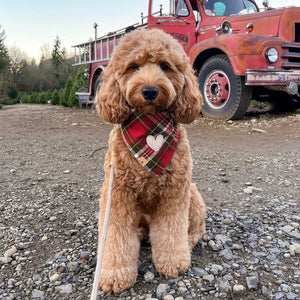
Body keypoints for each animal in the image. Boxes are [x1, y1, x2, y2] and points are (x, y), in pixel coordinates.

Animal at [96, 28, 206, 292]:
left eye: (165, 66)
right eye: (133, 66)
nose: (149, 91)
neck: (149, 128)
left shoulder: (174, 193)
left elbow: (171, 231)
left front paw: (173, 261)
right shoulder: (118, 194)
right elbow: (115, 236)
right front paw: (115, 273)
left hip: (193, 196)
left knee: (197, 228)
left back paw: (189, 240)